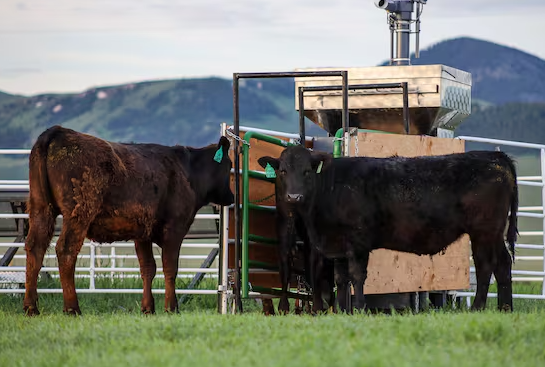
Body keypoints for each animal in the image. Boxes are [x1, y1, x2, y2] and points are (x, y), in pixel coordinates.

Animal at [23, 126, 234, 316]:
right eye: (230, 166)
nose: (231, 197)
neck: (188, 171)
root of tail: (58, 131)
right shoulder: (174, 228)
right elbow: (170, 268)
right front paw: (171, 307)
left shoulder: (142, 233)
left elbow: (148, 268)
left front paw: (148, 308)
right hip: (79, 213)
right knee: (66, 250)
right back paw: (72, 308)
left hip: (40, 207)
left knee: (35, 247)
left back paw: (31, 307)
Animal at [260, 146, 520, 314]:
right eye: (283, 171)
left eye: (306, 171)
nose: (294, 197)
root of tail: (495, 156)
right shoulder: (339, 246)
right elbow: (341, 279)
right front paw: (343, 311)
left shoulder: (358, 242)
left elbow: (357, 276)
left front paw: (359, 308)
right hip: (493, 233)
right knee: (503, 264)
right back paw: (505, 308)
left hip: (483, 232)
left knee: (486, 266)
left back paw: (478, 307)